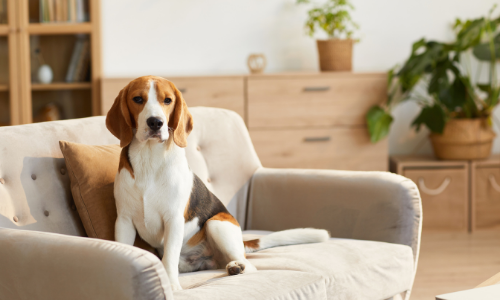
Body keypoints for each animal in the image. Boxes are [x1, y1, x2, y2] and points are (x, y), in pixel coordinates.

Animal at [105, 75, 330, 290]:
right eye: (138, 99)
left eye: (167, 100)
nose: (155, 122)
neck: (149, 158)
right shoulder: (124, 220)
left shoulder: (174, 220)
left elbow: (169, 257)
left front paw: (172, 286)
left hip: (216, 224)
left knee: (250, 266)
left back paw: (236, 267)